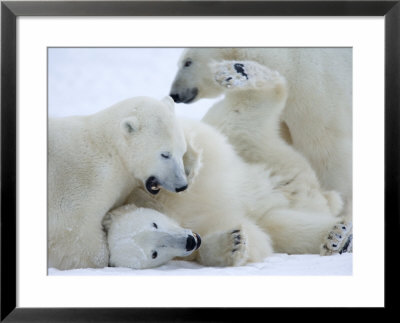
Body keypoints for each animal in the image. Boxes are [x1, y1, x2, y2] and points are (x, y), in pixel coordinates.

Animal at [47, 96, 191, 270]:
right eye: (165, 154)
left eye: (182, 151)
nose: (182, 185)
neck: (111, 151)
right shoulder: (81, 189)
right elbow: (74, 233)